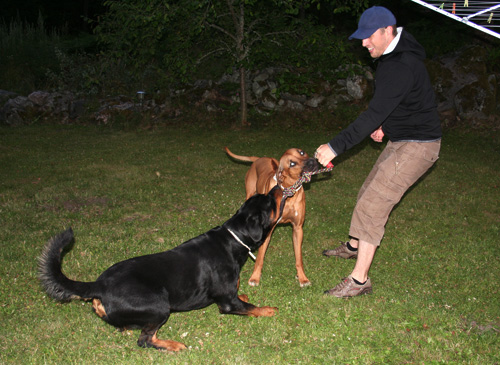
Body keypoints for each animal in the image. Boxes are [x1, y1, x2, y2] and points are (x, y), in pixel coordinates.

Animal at [38, 186, 286, 352]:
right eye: (269, 201)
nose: (278, 187)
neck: (234, 239)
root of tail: (100, 284)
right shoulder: (228, 303)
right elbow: (252, 308)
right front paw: (268, 309)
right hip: (159, 306)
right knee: (145, 340)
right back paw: (173, 345)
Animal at [226, 146, 318, 286]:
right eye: (292, 163)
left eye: (302, 152)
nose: (312, 161)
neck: (288, 192)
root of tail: (259, 158)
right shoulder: (266, 230)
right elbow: (259, 258)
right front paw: (255, 277)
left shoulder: (298, 228)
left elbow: (299, 258)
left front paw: (302, 277)